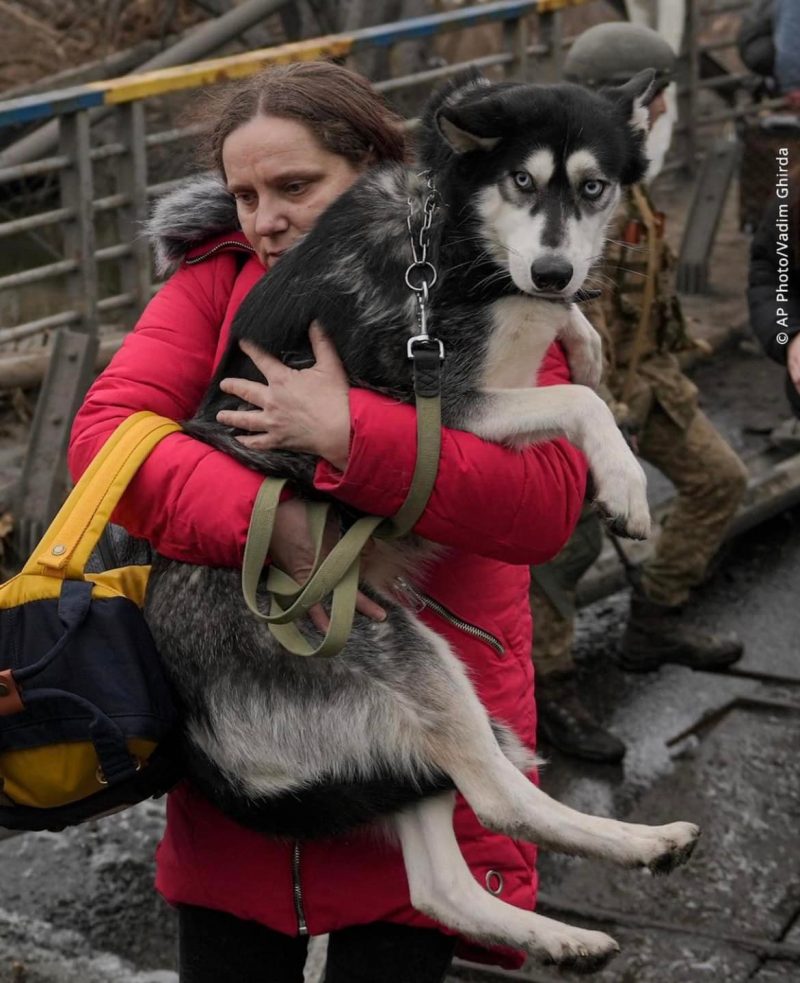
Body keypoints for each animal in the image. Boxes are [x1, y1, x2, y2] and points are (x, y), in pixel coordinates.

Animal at [147, 73, 696, 972]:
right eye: (520, 180)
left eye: (593, 188)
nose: (553, 269)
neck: (455, 238)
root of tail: (196, 733)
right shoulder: (437, 401)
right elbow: (578, 403)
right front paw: (622, 481)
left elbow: (573, 357)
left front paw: (584, 337)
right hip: (403, 654)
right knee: (501, 801)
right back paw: (634, 848)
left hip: (385, 737)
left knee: (440, 883)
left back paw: (577, 921)